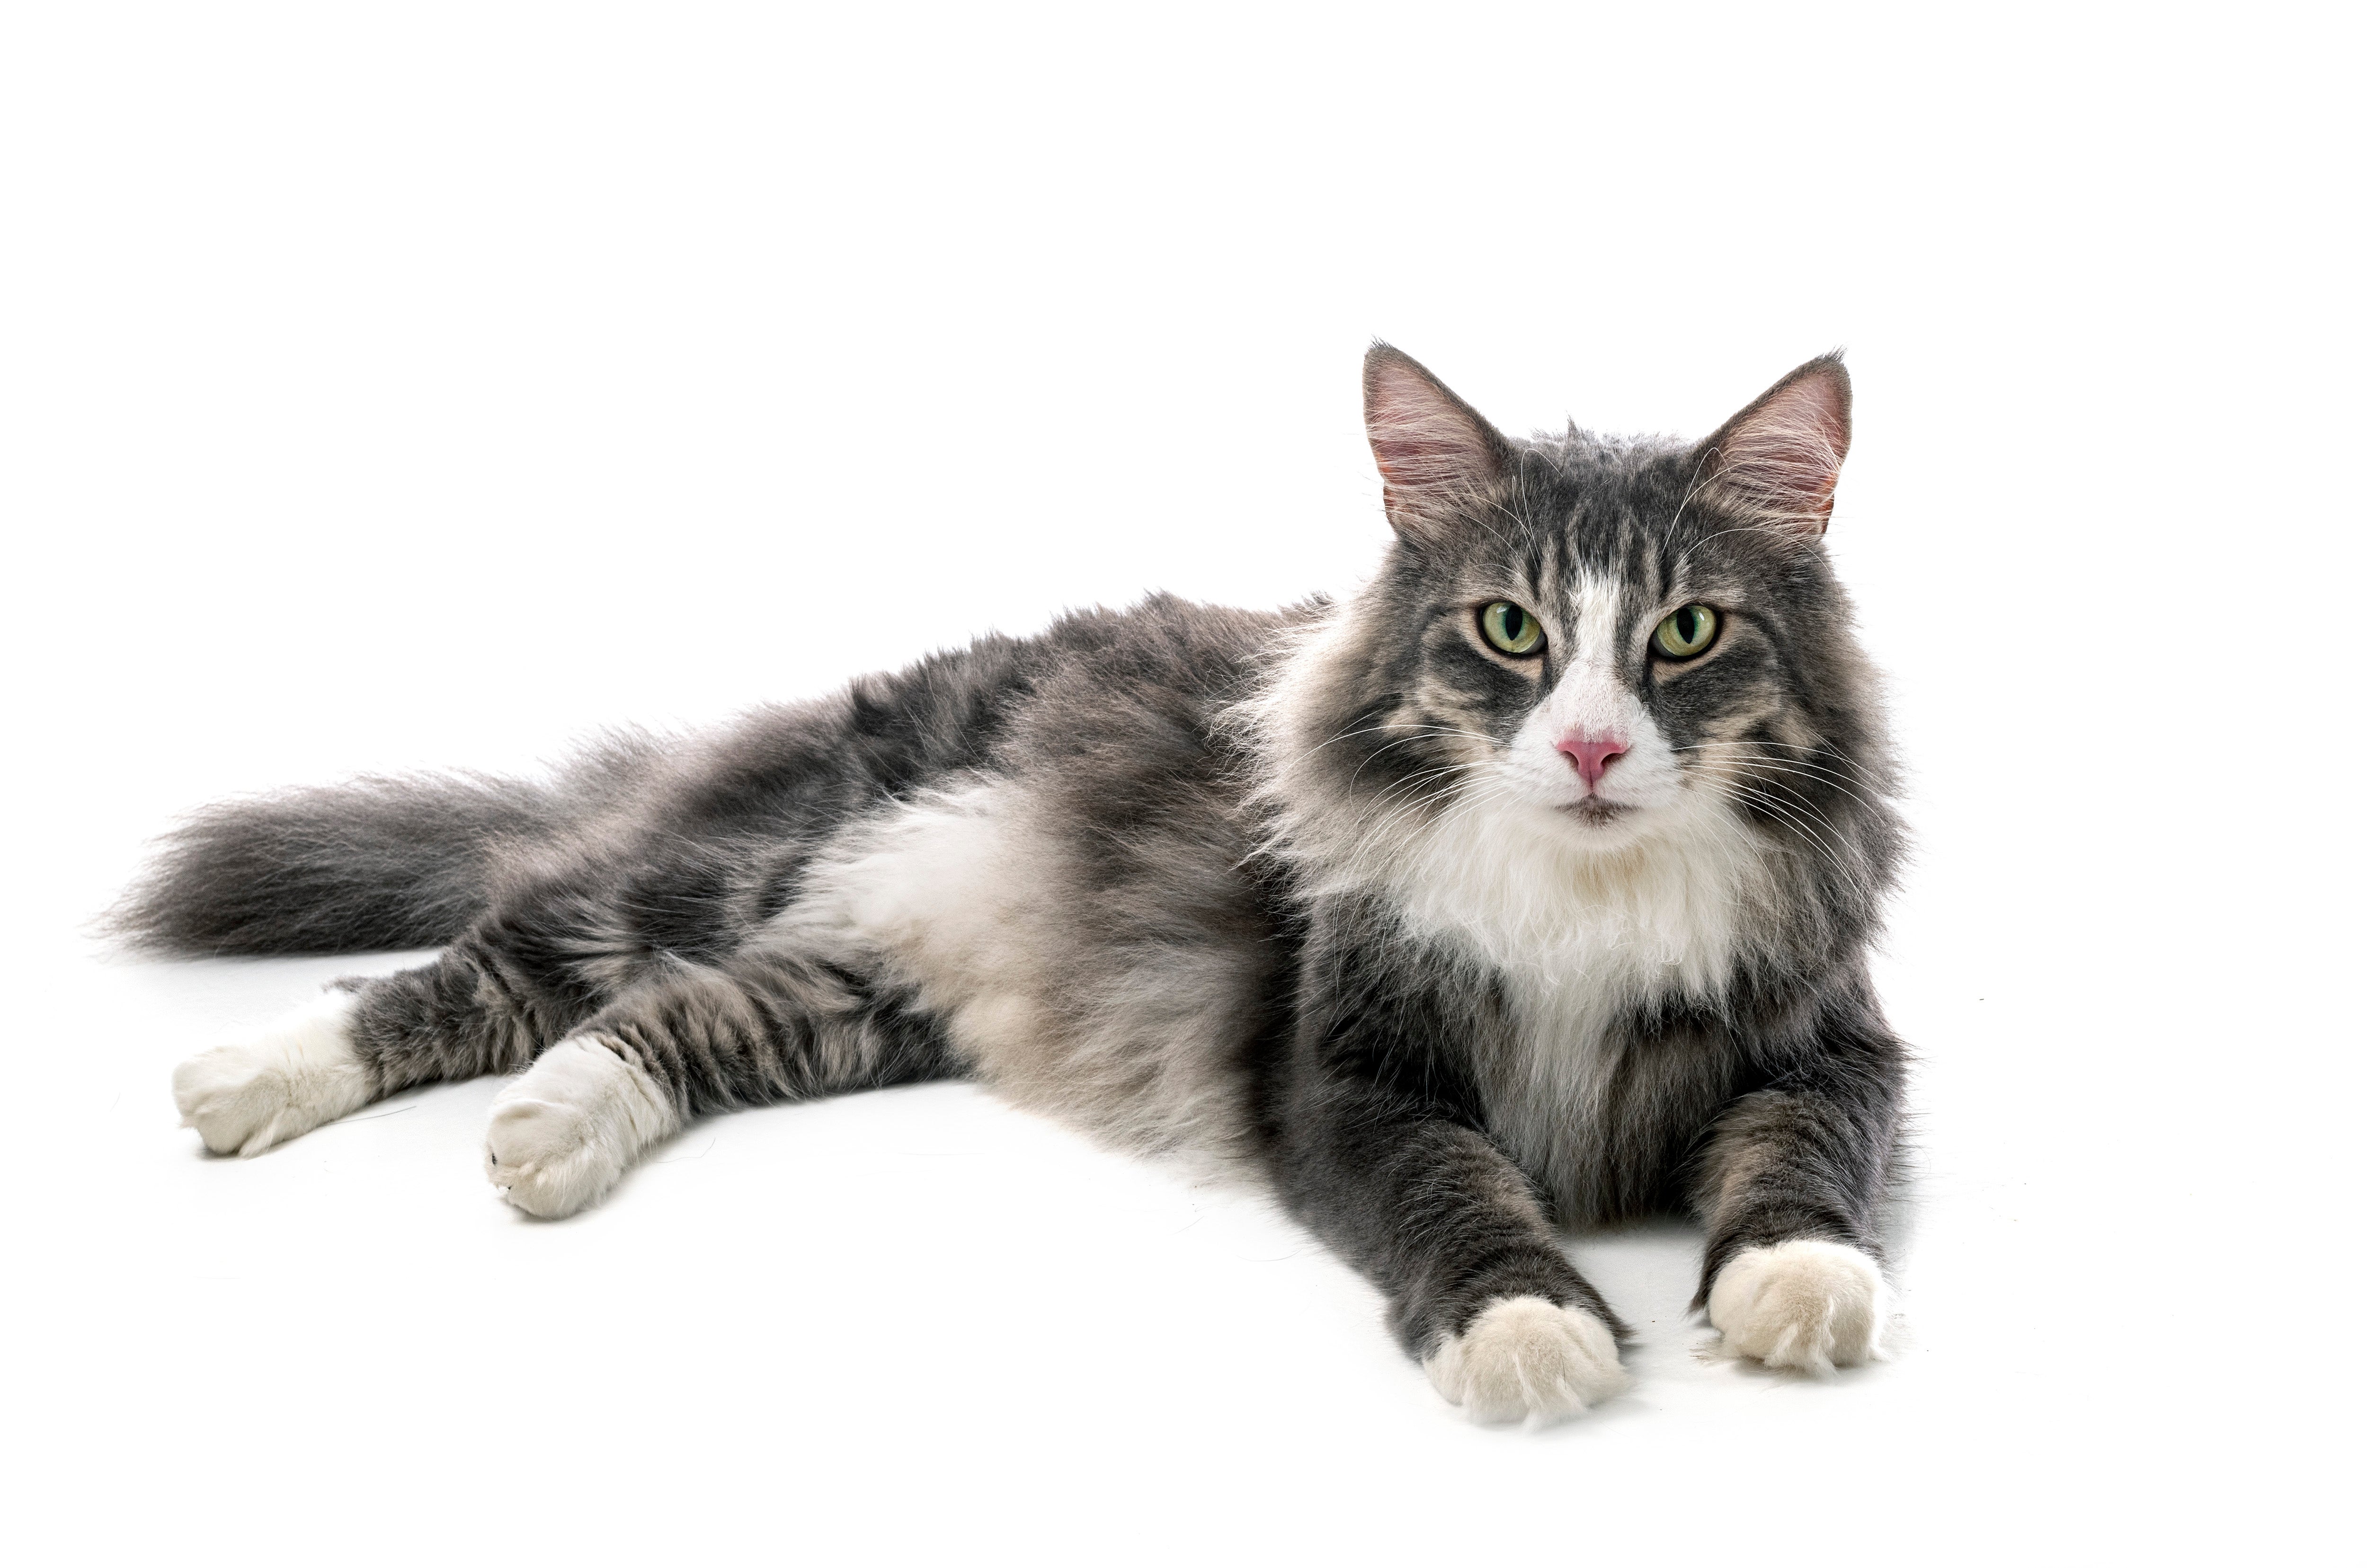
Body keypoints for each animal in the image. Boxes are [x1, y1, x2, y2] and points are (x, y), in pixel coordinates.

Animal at [125, 350, 1903, 1428]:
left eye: (1686, 633)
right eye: (1510, 632)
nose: (1592, 748)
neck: (1586, 891)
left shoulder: (1834, 1050)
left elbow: (1801, 1165)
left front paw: (1798, 1288)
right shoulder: (1345, 1075)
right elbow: (1458, 1201)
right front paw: (1531, 1332)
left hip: (860, 989)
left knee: (656, 1026)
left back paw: (551, 1134)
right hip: (742, 868)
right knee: (497, 963)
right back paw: (247, 1079)